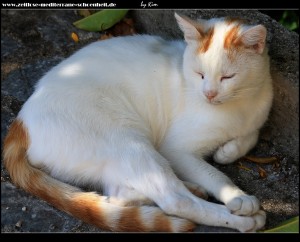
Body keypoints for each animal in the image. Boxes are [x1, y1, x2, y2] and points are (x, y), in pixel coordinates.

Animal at [2, 13, 274, 233]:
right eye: (200, 74)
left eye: (227, 77)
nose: (209, 94)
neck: (240, 107)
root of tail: (20, 121)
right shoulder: (175, 149)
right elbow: (215, 175)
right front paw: (237, 196)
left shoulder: (256, 116)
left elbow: (252, 135)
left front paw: (228, 151)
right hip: (130, 142)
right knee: (176, 200)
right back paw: (242, 219)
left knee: (117, 197)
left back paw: (184, 188)